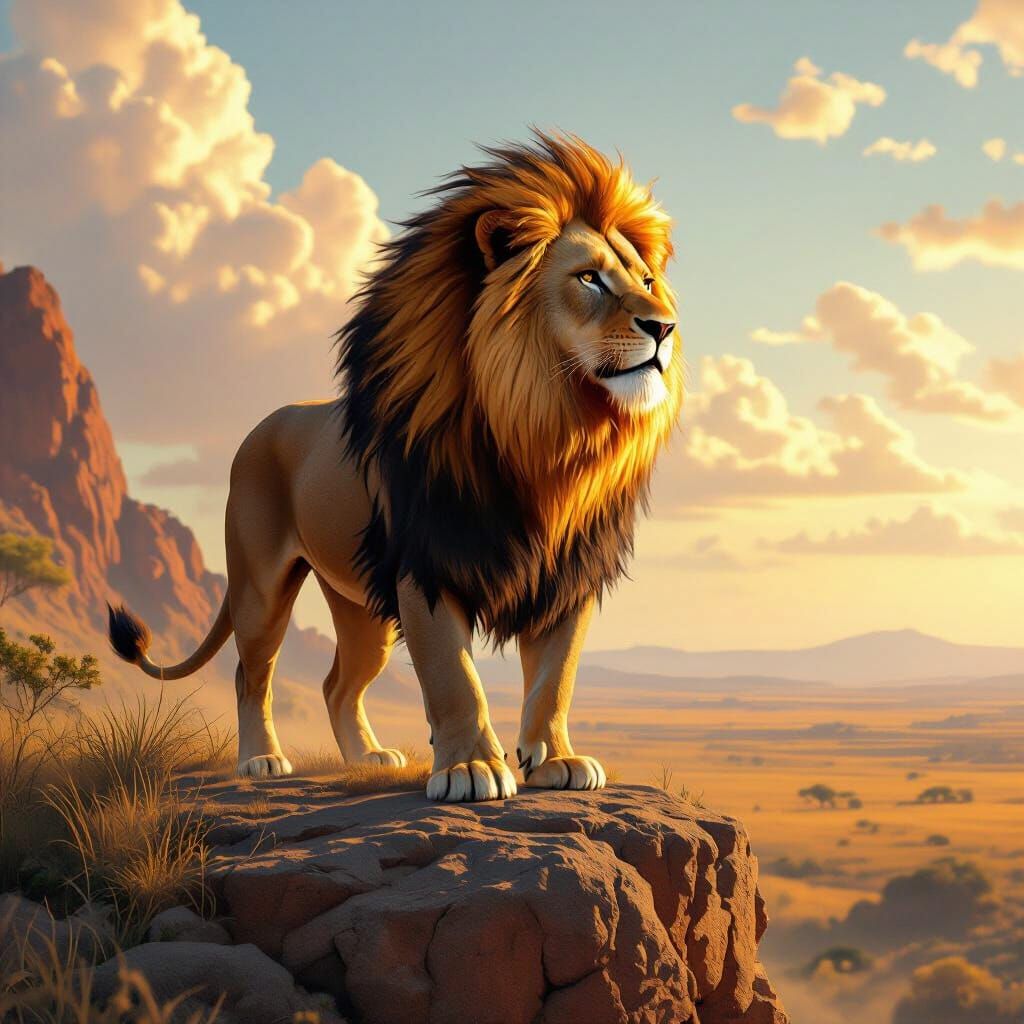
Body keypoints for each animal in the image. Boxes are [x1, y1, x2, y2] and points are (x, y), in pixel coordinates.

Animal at [108, 132, 683, 802]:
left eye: (648, 280)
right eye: (589, 278)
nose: (665, 327)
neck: (546, 437)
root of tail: (262, 424)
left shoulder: (567, 575)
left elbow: (555, 678)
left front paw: (557, 761)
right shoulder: (424, 565)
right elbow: (453, 675)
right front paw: (470, 769)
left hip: (361, 609)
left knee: (337, 683)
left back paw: (367, 758)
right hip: (260, 586)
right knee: (251, 674)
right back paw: (261, 761)